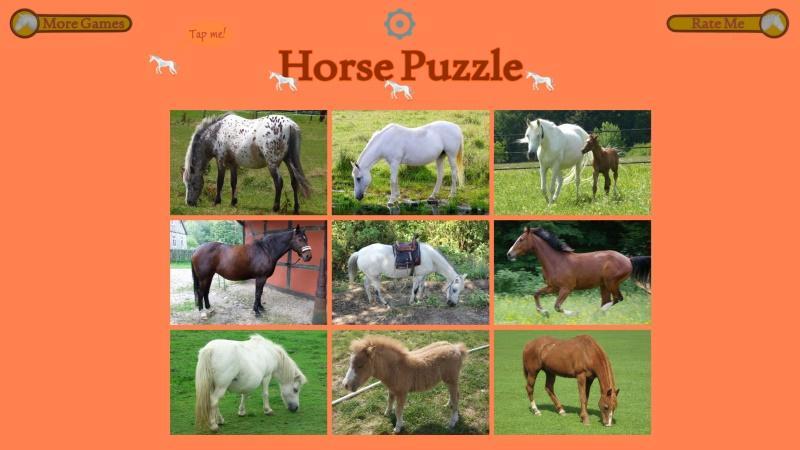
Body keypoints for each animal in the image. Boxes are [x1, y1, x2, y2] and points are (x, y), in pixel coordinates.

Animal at [182, 113, 312, 213]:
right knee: (294, 182)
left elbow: (220, 182)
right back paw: (296, 209)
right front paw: (233, 202)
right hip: (289, 161)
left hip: (273, 164)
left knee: (279, 182)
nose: (189, 202)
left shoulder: (221, 161)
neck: (217, 132)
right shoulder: (233, 164)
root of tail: (291, 125)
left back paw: (275, 208)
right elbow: (233, 182)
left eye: (191, 183)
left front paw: (216, 201)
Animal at [506, 227, 651, 316]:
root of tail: (628, 259)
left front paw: (575, 313)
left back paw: (597, 313)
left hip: (611, 282)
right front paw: (544, 313)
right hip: (604, 285)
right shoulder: (552, 287)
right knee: (608, 301)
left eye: (521, 239)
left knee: (618, 298)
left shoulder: (566, 288)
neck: (556, 261)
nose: (509, 254)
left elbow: (557, 306)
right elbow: (536, 294)